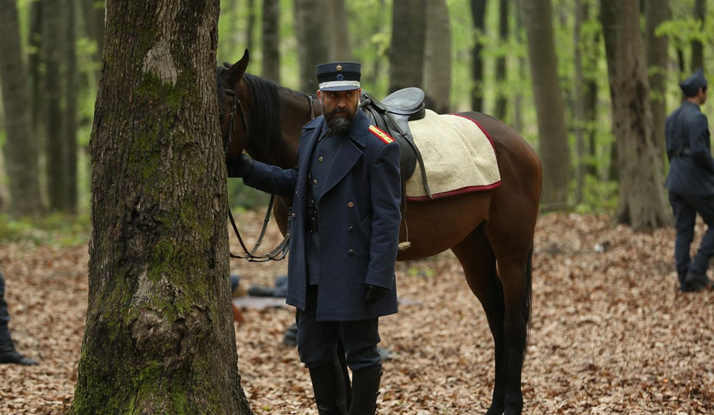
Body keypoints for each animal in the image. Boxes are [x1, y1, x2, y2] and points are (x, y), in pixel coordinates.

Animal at [217, 52, 540, 415]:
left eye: (224, 108)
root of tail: (518, 142)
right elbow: (334, 346)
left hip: (511, 248)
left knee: (514, 322)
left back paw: (511, 404)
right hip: (472, 249)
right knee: (497, 319)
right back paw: (495, 405)